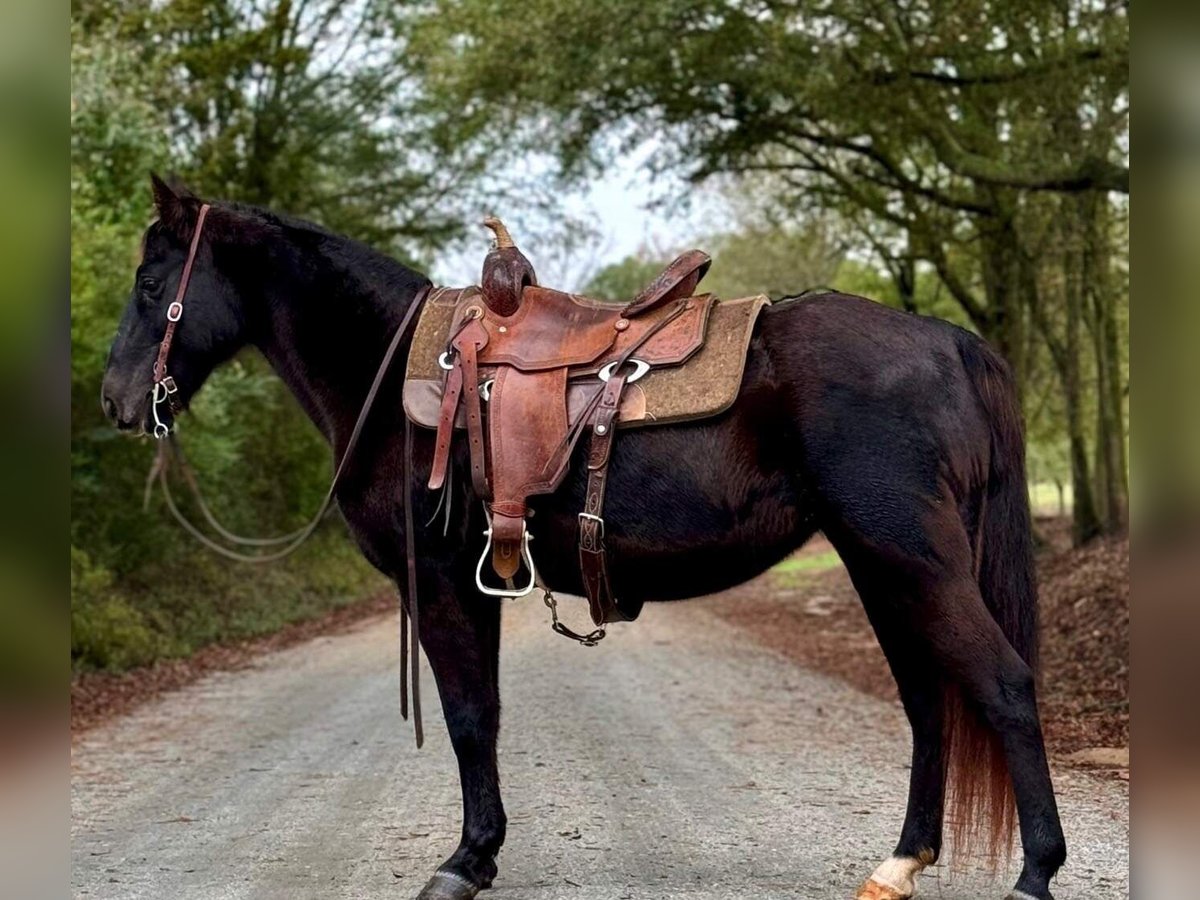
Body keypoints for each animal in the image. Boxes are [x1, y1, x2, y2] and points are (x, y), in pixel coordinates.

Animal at [100, 177, 1066, 900]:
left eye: (150, 286)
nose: (116, 401)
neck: (393, 372)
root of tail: (949, 342)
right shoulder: (476, 580)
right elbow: (483, 713)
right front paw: (482, 851)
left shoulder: (442, 582)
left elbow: (469, 717)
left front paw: (465, 861)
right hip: (881, 565)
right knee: (929, 702)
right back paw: (900, 865)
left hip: (912, 559)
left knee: (1004, 686)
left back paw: (1034, 875)